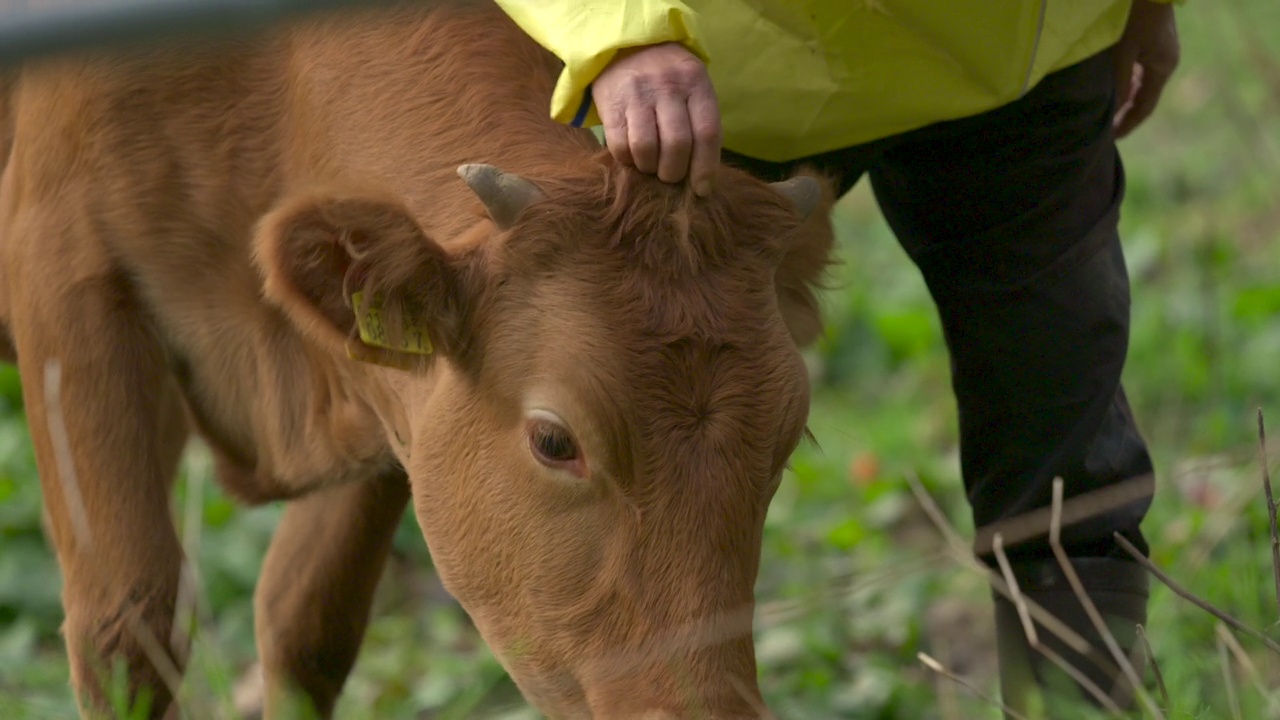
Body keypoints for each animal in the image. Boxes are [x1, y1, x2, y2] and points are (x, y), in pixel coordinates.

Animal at [0, 2, 834, 712]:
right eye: (554, 440)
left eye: (785, 445)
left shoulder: (384, 398)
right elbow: (126, 622)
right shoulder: (60, 270)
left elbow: (305, 623)